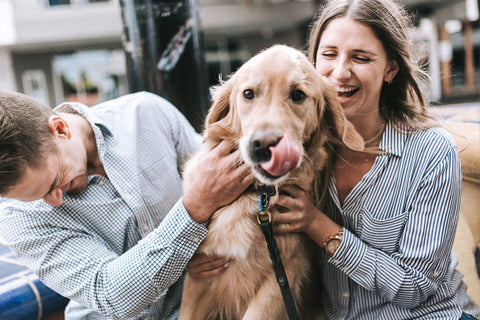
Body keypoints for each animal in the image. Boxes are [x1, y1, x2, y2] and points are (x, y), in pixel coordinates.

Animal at [180, 45, 364, 320]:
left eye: (298, 95)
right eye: (248, 94)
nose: (263, 145)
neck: (259, 197)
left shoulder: (283, 274)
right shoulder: (200, 277)